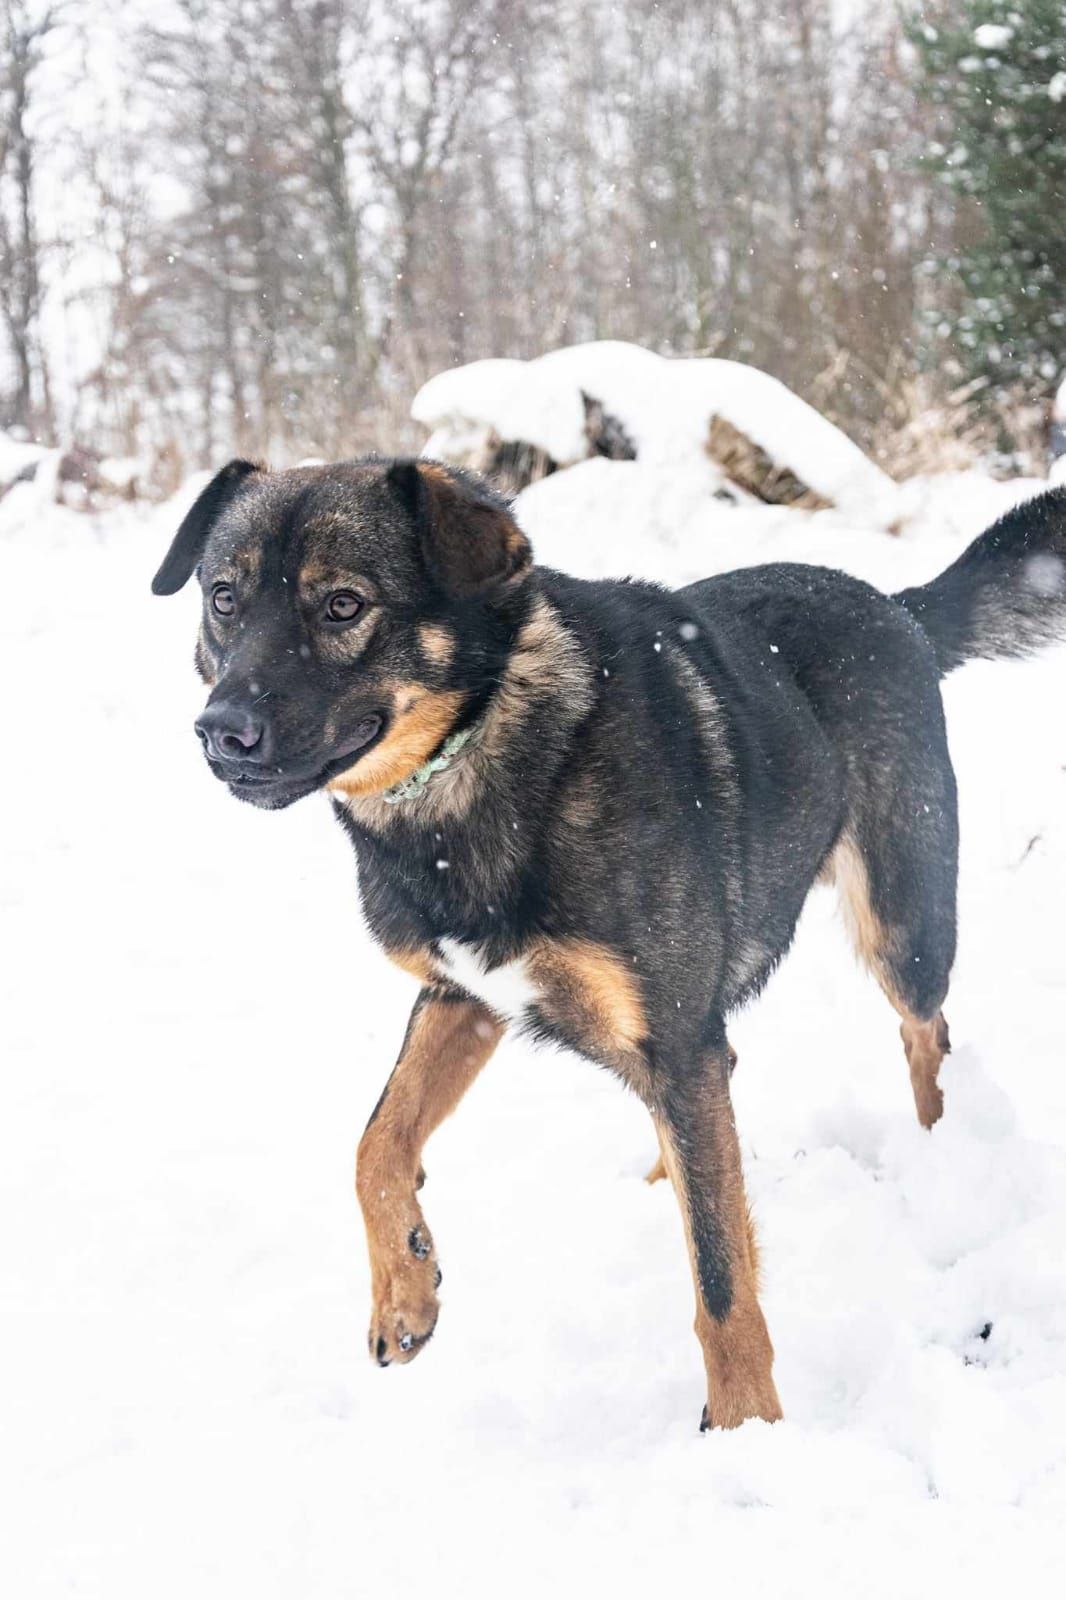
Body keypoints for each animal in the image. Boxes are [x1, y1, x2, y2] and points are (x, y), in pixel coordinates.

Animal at [151, 457, 1062, 1433]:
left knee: (924, 1036)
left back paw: (942, 1160)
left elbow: (720, 1282)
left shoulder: (677, 1036)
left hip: (904, 923)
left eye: (343, 605)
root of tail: (898, 607)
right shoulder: (465, 999)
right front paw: (405, 1291)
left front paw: (746, 1430)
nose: (221, 732)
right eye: (224, 598)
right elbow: (376, 1145)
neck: (477, 755)